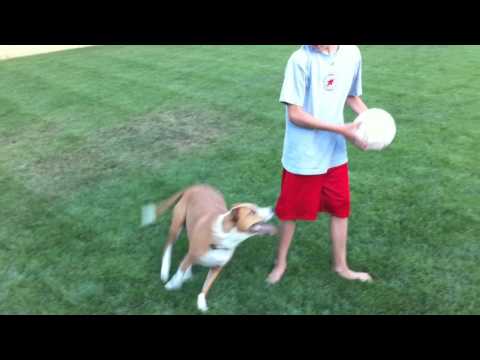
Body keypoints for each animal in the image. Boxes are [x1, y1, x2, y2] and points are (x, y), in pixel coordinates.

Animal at [141, 184, 276, 310]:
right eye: (252, 212)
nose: (273, 209)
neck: (224, 238)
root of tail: (196, 185)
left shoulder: (217, 267)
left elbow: (206, 286)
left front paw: (201, 302)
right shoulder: (192, 255)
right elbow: (180, 272)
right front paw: (172, 284)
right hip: (177, 225)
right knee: (168, 246)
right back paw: (165, 270)